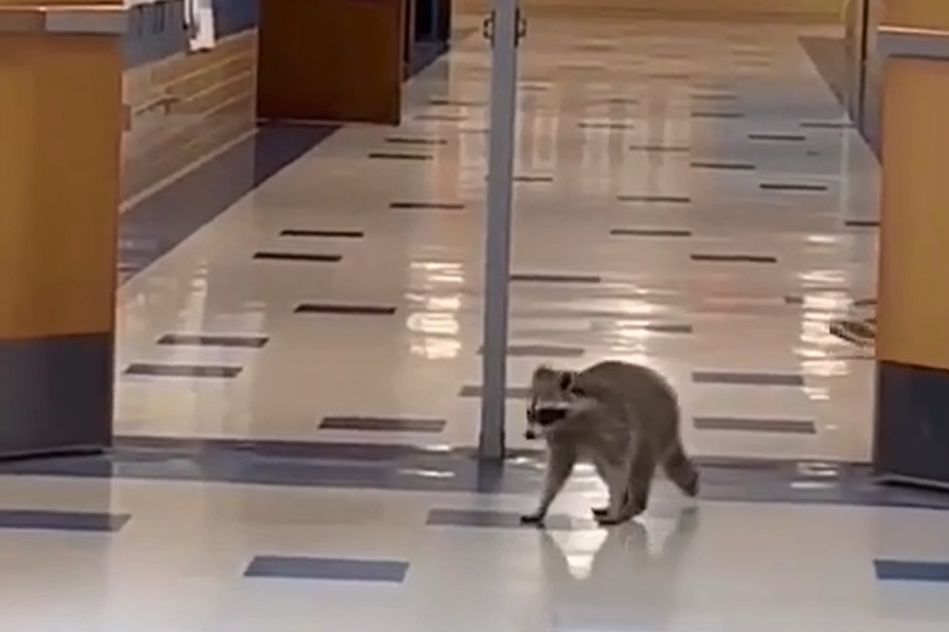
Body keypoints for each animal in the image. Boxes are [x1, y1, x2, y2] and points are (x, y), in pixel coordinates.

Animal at [520, 360, 696, 528]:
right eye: (529, 413)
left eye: (544, 413)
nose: (528, 435)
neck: (566, 422)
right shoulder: (561, 439)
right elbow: (557, 470)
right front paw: (542, 506)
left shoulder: (610, 420)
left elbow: (618, 466)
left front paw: (616, 507)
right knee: (603, 466)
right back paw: (626, 501)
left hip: (655, 419)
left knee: (638, 463)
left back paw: (634, 504)